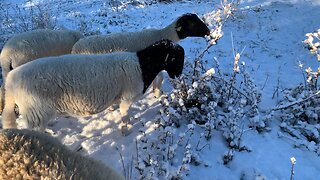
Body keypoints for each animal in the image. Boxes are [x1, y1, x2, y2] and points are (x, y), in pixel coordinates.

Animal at [71, 13, 209, 97]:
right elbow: (160, 78)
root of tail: (75, 48)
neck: (162, 34)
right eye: (193, 23)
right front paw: (157, 93)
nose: (208, 31)